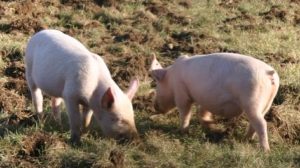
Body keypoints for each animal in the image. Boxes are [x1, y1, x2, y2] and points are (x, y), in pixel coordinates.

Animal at [151, 52, 280, 151]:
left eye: (157, 86)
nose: (155, 107)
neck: (171, 78)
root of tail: (268, 74)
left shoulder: (181, 93)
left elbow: (185, 113)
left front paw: (183, 132)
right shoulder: (205, 99)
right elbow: (202, 112)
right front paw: (211, 125)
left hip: (252, 101)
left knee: (261, 123)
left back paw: (265, 150)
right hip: (267, 103)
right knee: (255, 123)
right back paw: (245, 139)